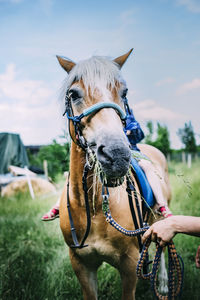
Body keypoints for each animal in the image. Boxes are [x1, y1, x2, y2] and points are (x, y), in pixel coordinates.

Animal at [57, 49, 171, 300]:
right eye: (73, 94)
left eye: (124, 92)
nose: (116, 154)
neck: (93, 207)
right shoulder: (81, 265)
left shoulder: (129, 265)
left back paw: (163, 284)